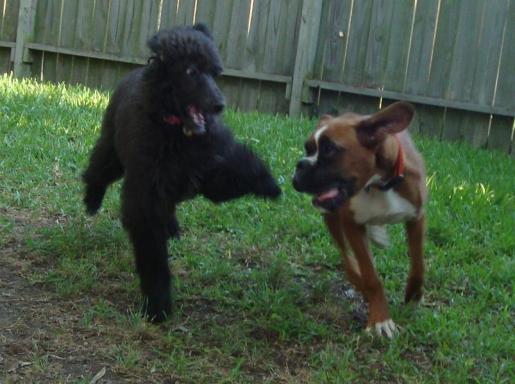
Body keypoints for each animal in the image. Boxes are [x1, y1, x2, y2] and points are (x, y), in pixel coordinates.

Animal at [82, 24, 282, 320]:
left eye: (214, 72)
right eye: (190, 72)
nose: (220, 104)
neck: (176, 131)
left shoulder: (211, 173)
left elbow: (242, 169)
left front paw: (271, 184)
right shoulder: (146, 198)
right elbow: (153, 260)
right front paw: (158, 305)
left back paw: (172, 226)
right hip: (113, 151)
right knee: (98, 170)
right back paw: (92, 199)